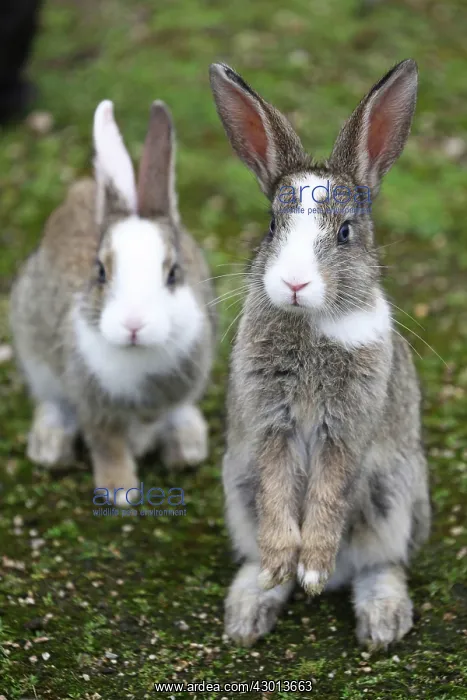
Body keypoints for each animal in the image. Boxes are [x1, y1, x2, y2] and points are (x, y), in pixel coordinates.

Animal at [10, 100, 216, 505]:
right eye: (101, 272)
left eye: (173, 273)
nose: (133, 325)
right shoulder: (93, 404)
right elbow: (107, 443)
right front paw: (120, 490)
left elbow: (152, 420)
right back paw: (50, 445)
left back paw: (187, 445)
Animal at [209, 59, 430, 649]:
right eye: (271, 226)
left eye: (346, 232)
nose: (293, 283)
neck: (311, 325)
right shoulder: (271, 424)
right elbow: (278, 491)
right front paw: (287, 565)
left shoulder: (347, 428)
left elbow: (329, 494)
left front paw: (312, 569)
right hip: (236, 485)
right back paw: (252, 607)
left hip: (394, 492)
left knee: (379, 562)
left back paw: (379, 620)